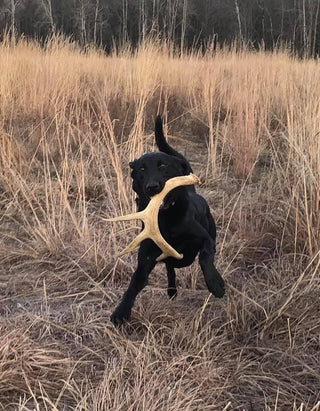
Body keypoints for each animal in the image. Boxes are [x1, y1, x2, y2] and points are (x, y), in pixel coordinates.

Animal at [110, 116, 225, 326]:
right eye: (142, 169)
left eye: (163, 166)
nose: (152, 187)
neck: (163, 218)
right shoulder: (146, 258)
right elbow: (134, 283)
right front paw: (121, 311)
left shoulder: (205, 239)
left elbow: (205, 257)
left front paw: (215, 283)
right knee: (171, 268)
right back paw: (172, 291)